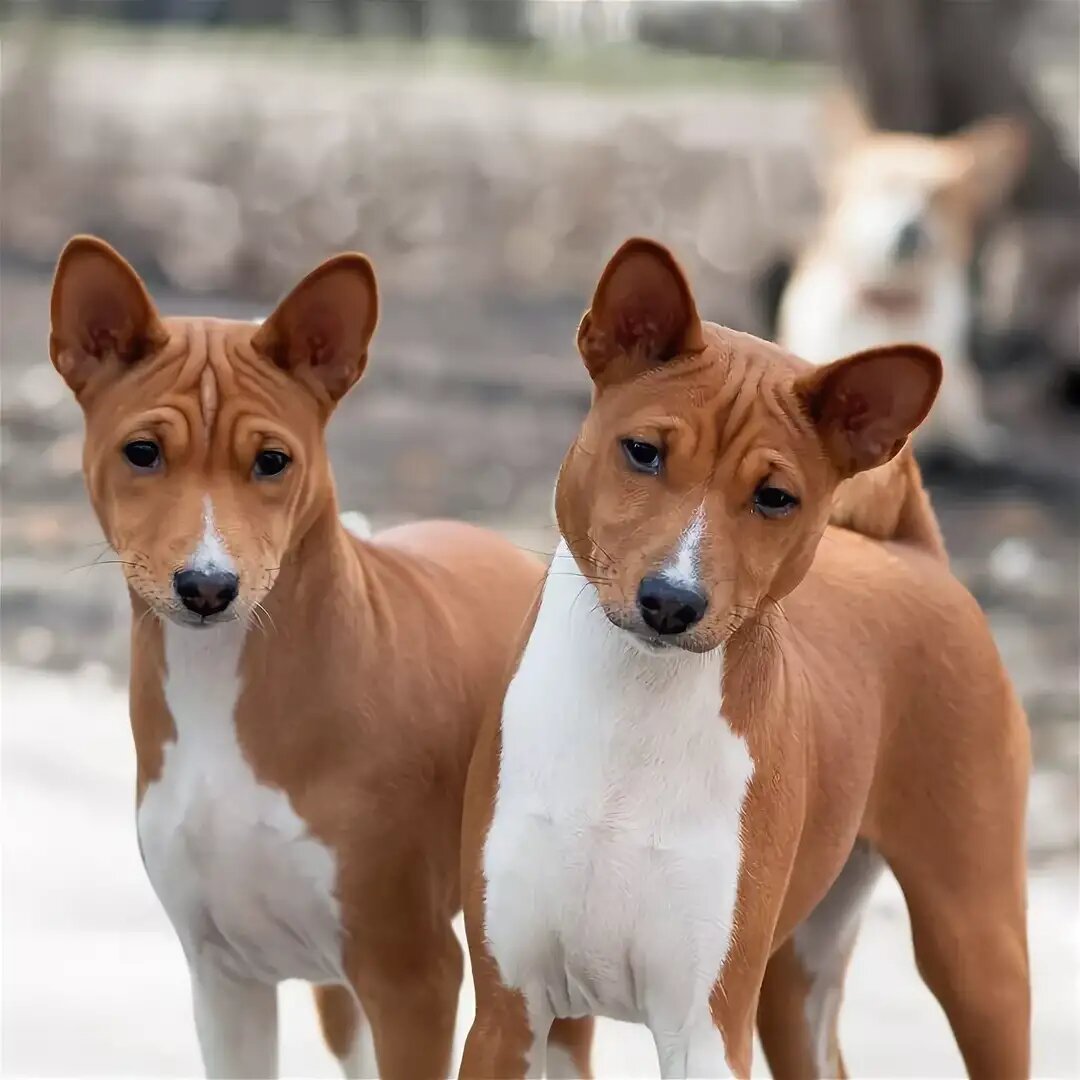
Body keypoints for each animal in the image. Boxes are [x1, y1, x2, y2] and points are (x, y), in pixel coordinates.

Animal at [50, 238, 596, 1080]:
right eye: (141, 453)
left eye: (273, 461)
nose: (208, 586)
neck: (221, 702)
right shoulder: (224, 976)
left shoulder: (414, 973)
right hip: (342, 994)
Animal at [457, 240, 1028, 1075]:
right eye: (643, 453)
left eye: (774, 498)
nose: (671, 600)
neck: (631, 711)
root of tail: (912, 555)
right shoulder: (511, 1011)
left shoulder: (704, 1026)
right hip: (796, 978)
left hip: (974, 950)